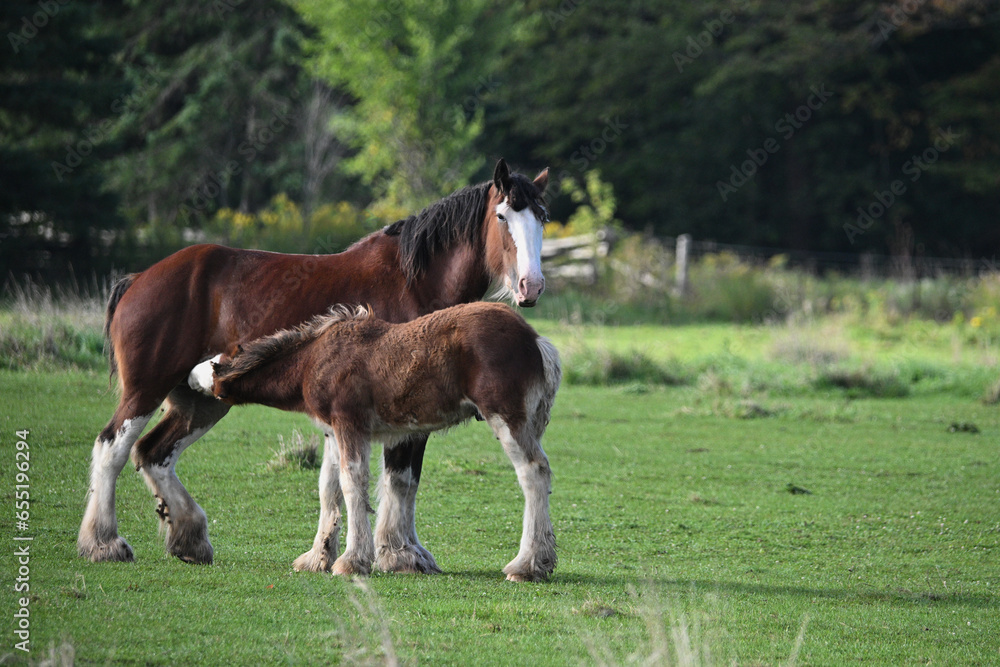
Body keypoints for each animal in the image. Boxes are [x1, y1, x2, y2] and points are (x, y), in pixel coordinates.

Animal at [187, 302, 560, 581]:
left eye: (216, 362)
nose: (189, 377)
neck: (314, 359)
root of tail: (535, 339)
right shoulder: (332, 432)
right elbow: (329, 489)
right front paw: (317, 558)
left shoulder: (350, 425)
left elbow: (353, 484)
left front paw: (352, 561)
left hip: (505, 417)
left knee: (534, 472)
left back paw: (527, 565)